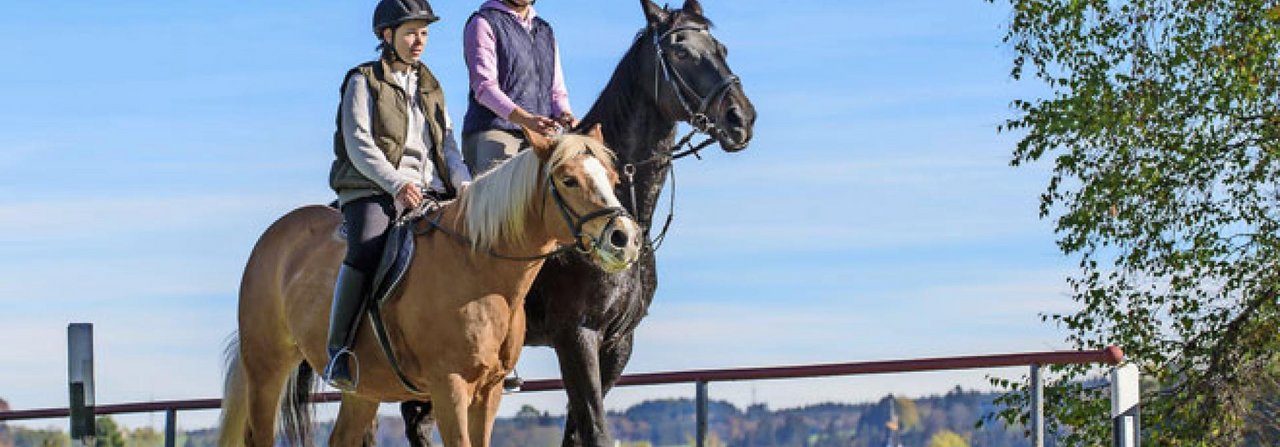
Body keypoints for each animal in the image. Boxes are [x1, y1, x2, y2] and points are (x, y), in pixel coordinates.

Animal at [217, 126, 650, 445]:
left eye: (614, 179)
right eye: (569, 179)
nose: (624, 238)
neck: (479, 267)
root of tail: (273, 237)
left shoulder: (489, 392)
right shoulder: (449, 387)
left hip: (362, 390)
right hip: (266, 370)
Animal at [399, 1, 752, 443]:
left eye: (721, 49)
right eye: (681, 52)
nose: (741, 118)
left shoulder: (617, 344)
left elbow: (578, 431)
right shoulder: (576, 336)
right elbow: (595, 427)